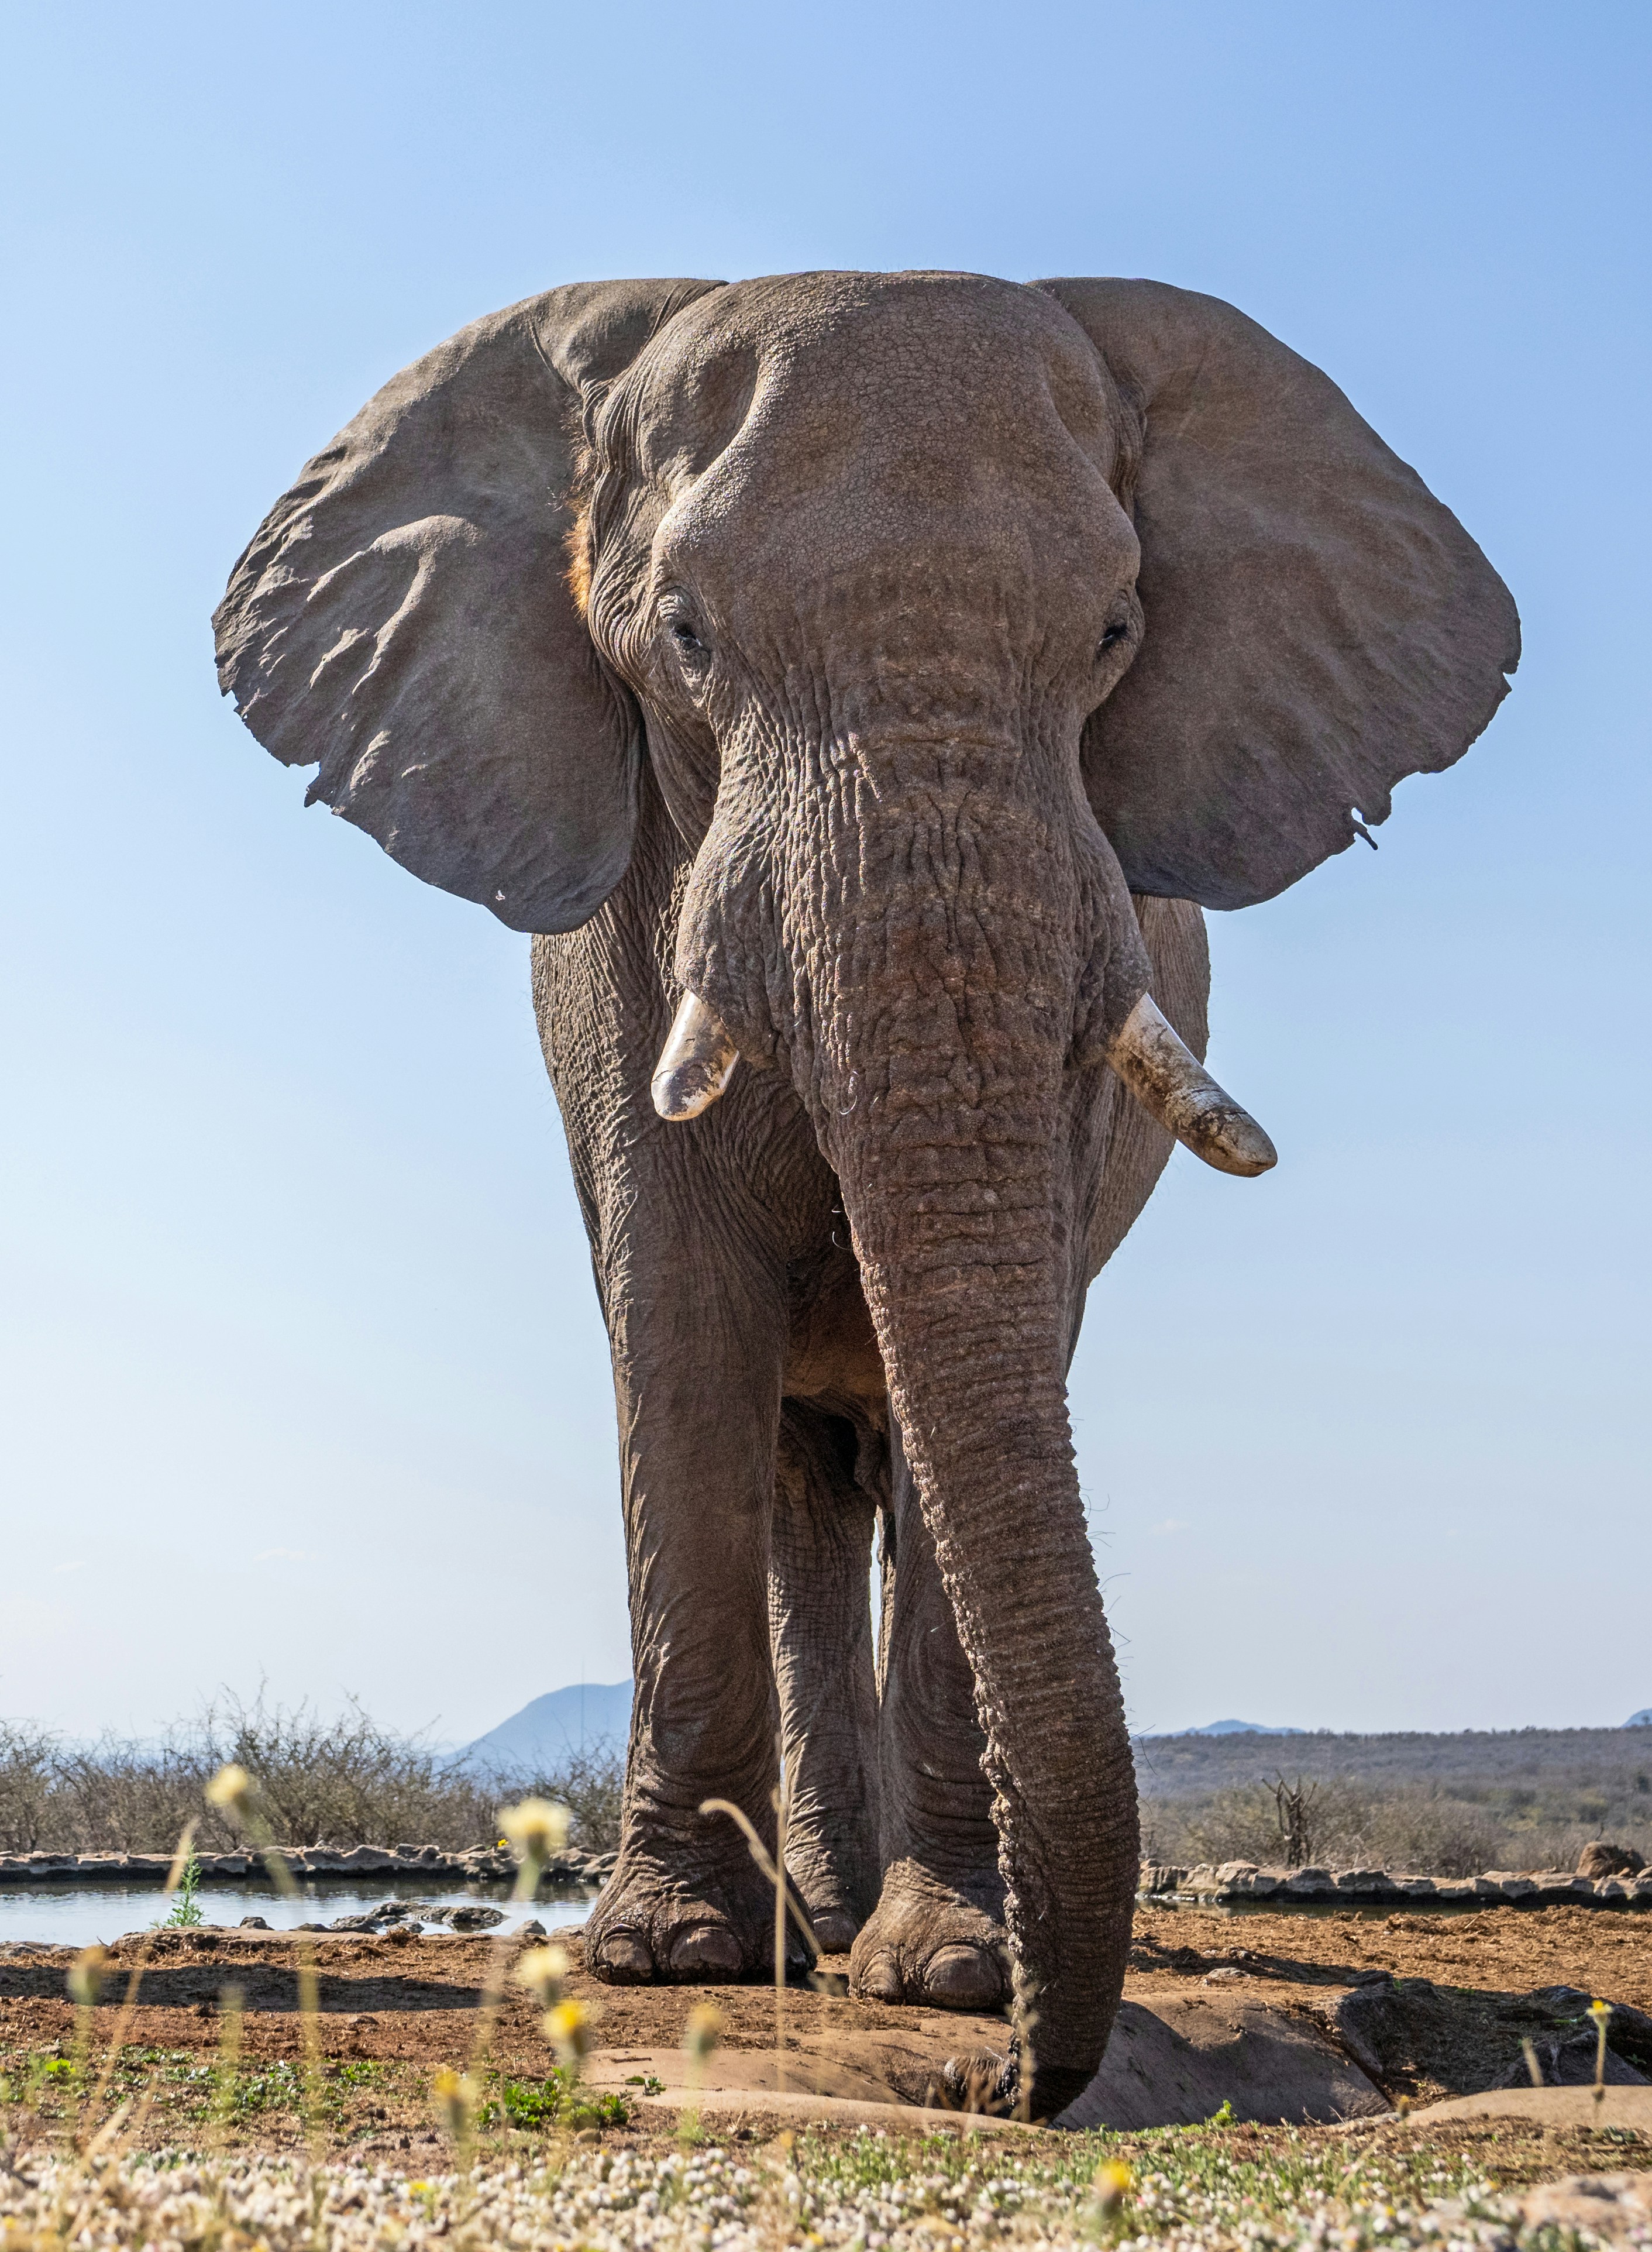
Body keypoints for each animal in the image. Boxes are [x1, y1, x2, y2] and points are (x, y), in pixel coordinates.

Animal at [214, 270, 1517, 2116]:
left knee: (891, 1458)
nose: (1016, 2081)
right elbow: (678, 1312)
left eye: (1115, 631)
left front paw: (951, 1969)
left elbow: (1002, 1324)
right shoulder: (618, 944)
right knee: (792, 1470)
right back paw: (808, 1921)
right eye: (684, 634)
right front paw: (673, 1955)